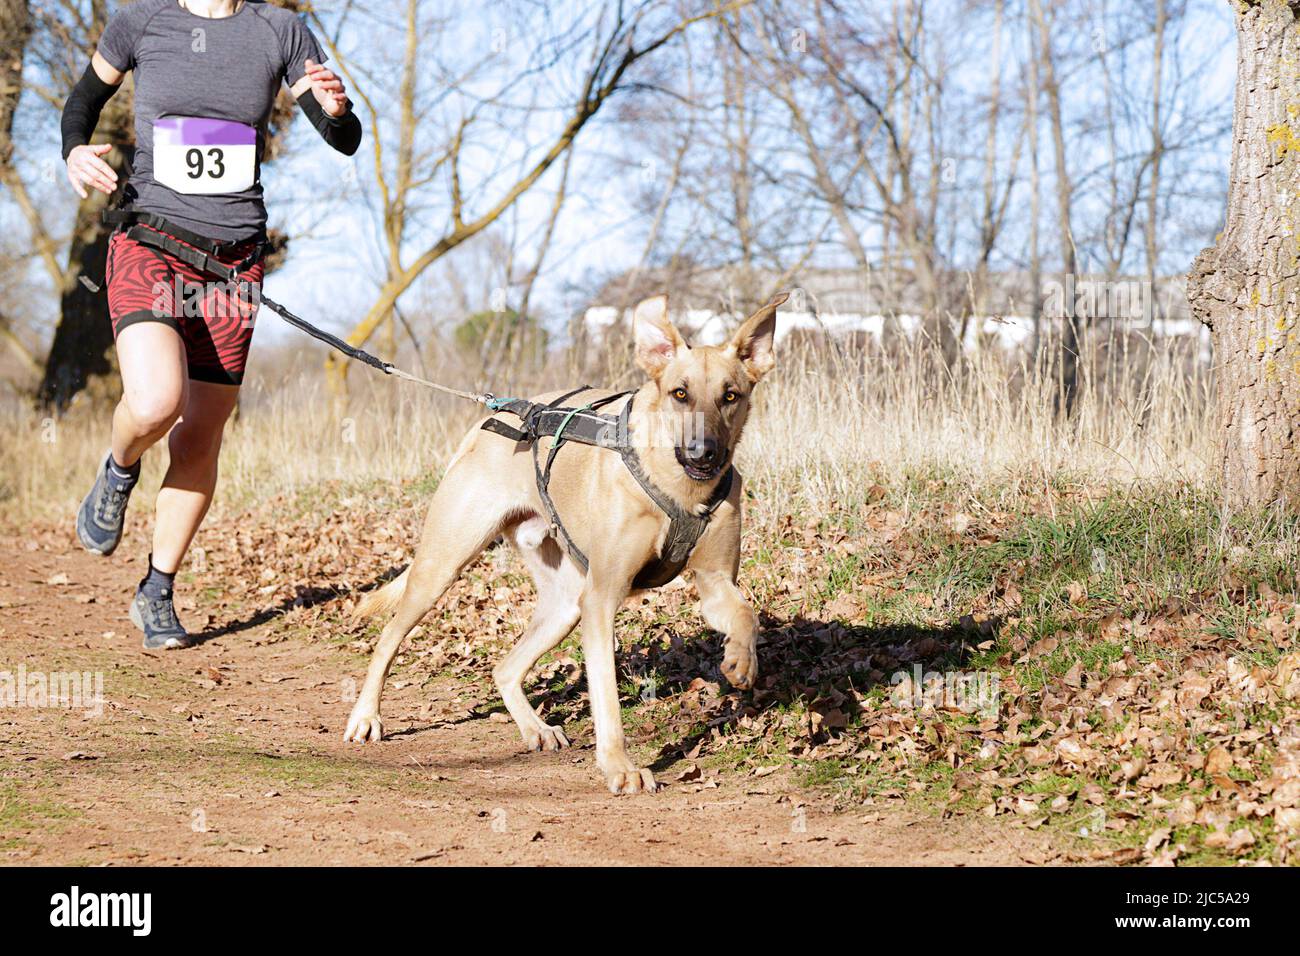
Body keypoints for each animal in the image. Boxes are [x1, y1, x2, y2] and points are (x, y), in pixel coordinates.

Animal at [345, 291, 785, 790]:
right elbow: (607, 695)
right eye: (680, 393)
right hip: (442, 569)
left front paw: (741, 660)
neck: (679, 491)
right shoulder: (601, 599)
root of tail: (491, 419)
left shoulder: (713, 583)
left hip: (563, 605)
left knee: (504, 667)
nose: (703, 453)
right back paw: (366, 717)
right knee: (389, 637)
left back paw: (535, 727)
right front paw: (619, 766)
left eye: (730, 395)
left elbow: (746, 614)